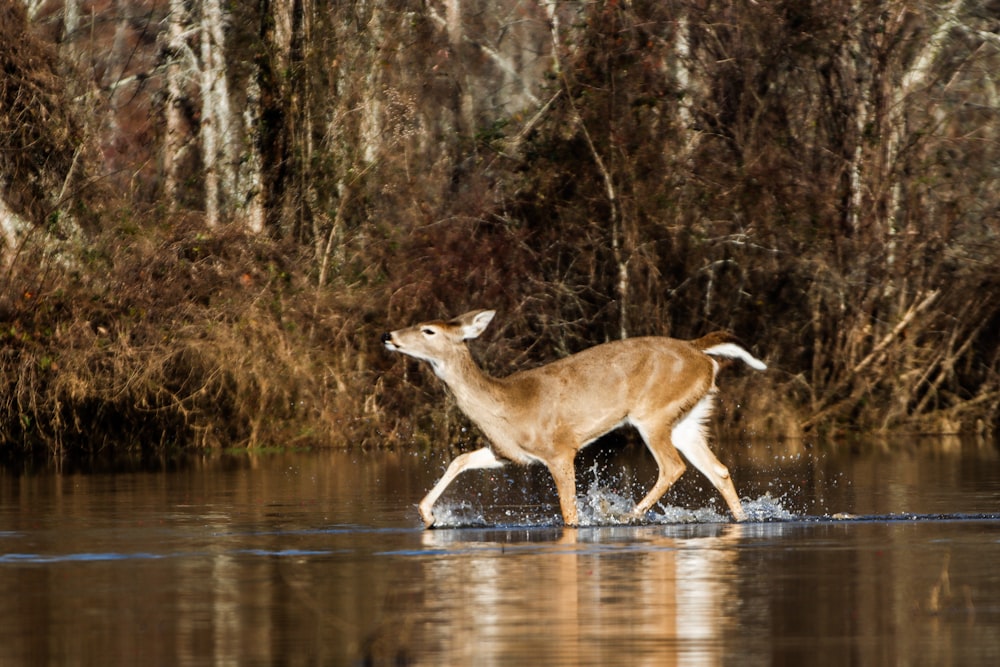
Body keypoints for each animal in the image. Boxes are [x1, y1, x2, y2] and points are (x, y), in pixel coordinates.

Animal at [380, 310, 764, 528]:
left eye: (428, 330)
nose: (388, 335)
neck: (507, 404)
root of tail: (700, 351)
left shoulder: (560, 449)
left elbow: (568, 512)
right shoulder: (507, 453)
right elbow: (459, 459)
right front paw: (428, 515)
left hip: (653, 414)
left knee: (673, 466)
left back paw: (625, 516)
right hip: (687, 418)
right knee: (718, 469)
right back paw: (741, 519)